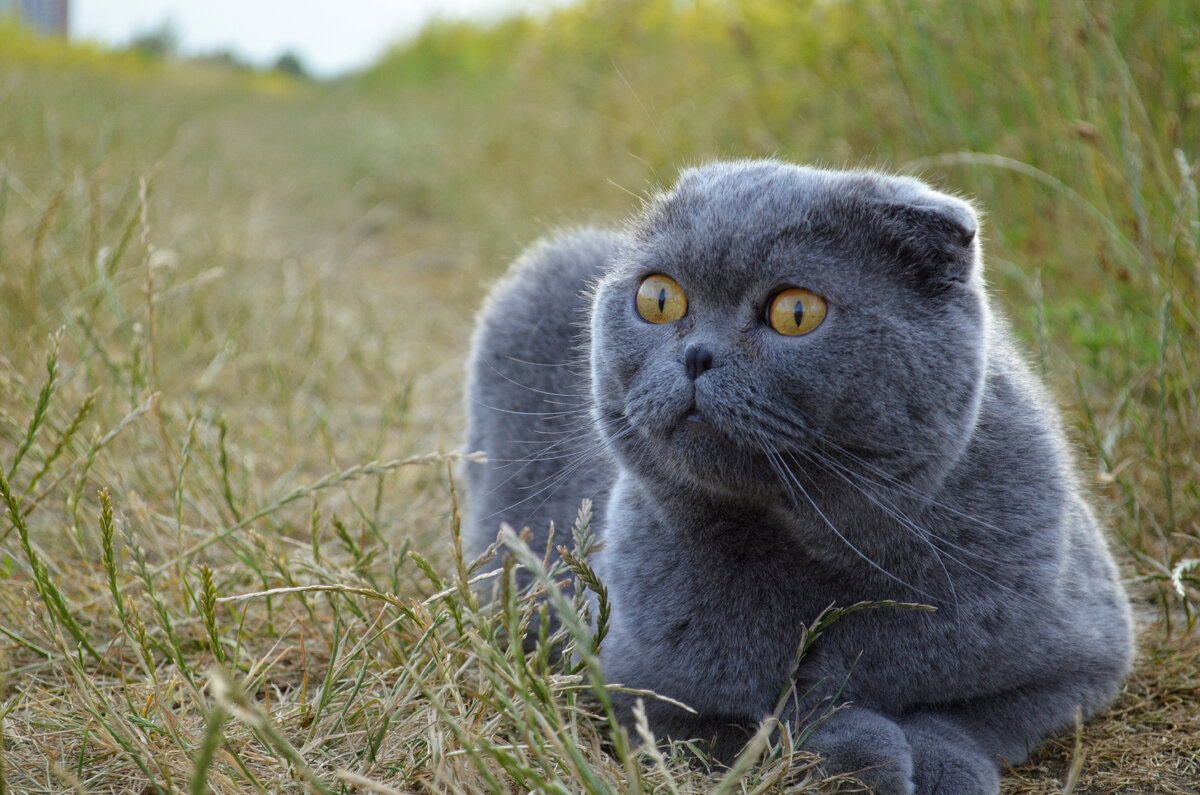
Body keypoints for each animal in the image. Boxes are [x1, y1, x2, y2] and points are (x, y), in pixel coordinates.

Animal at [460, 158, 1132, 792]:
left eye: (797, 312)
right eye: (659, 299)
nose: (697, 355)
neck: (821, 554)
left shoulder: (1086, 657)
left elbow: (972, 714)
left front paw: (941, 768)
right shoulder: (631, 689)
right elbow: (772, 724)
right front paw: (864, 753)